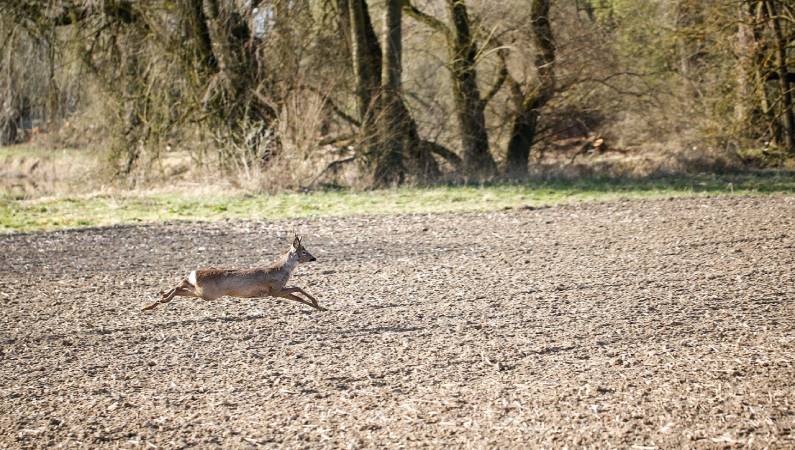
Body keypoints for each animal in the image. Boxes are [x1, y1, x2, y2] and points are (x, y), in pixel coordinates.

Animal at [143, 236, 326, 312]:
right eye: (304, 251)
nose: (314, 258)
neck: (281, 270)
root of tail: (195, 273)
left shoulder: (276, 291)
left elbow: (297, 295)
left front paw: (320, 306)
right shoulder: (275, 290)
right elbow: (298, 289)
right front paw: (317, 304)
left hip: (201, 290)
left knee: (181, 284)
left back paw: (154, 302)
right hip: (208, 293)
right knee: (180, 288)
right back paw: (161, 300)